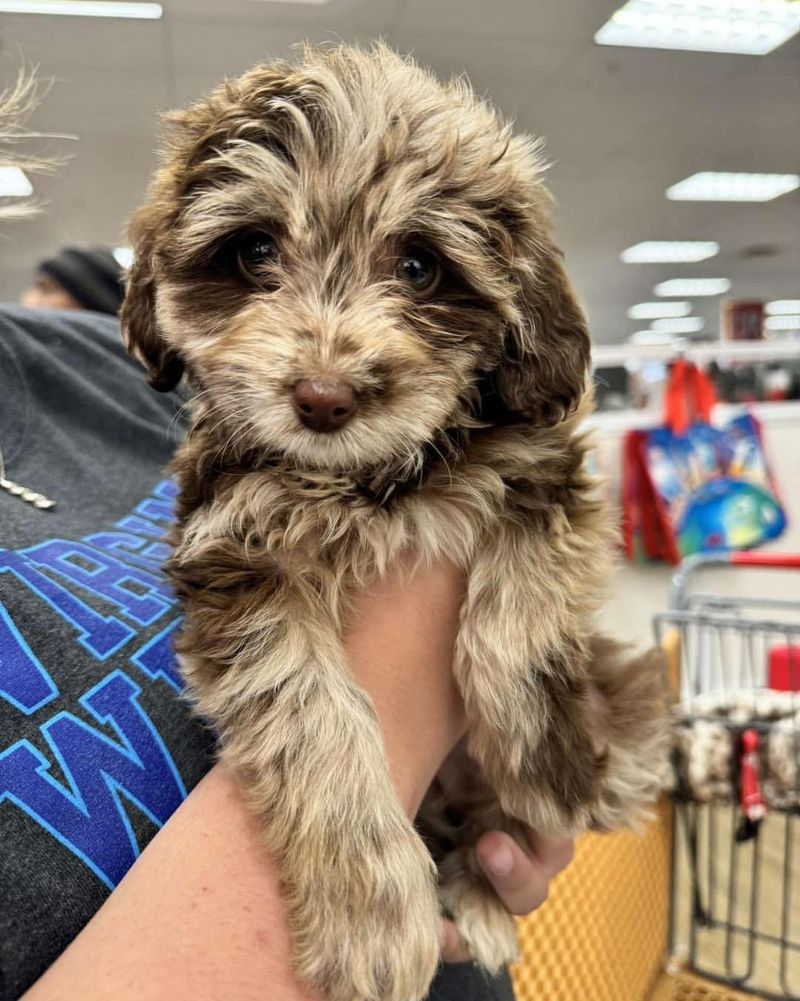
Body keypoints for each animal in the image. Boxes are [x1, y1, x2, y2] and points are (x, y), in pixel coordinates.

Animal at [122, 43, 664, 1001]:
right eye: (253, 250)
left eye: (418, 265)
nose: (323, 396)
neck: (365, 478)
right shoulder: (235, 555)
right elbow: (308, 711)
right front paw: (368, 912)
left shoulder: (545, 467)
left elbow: (514, 624)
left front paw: (544, 759)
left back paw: (489, 878)